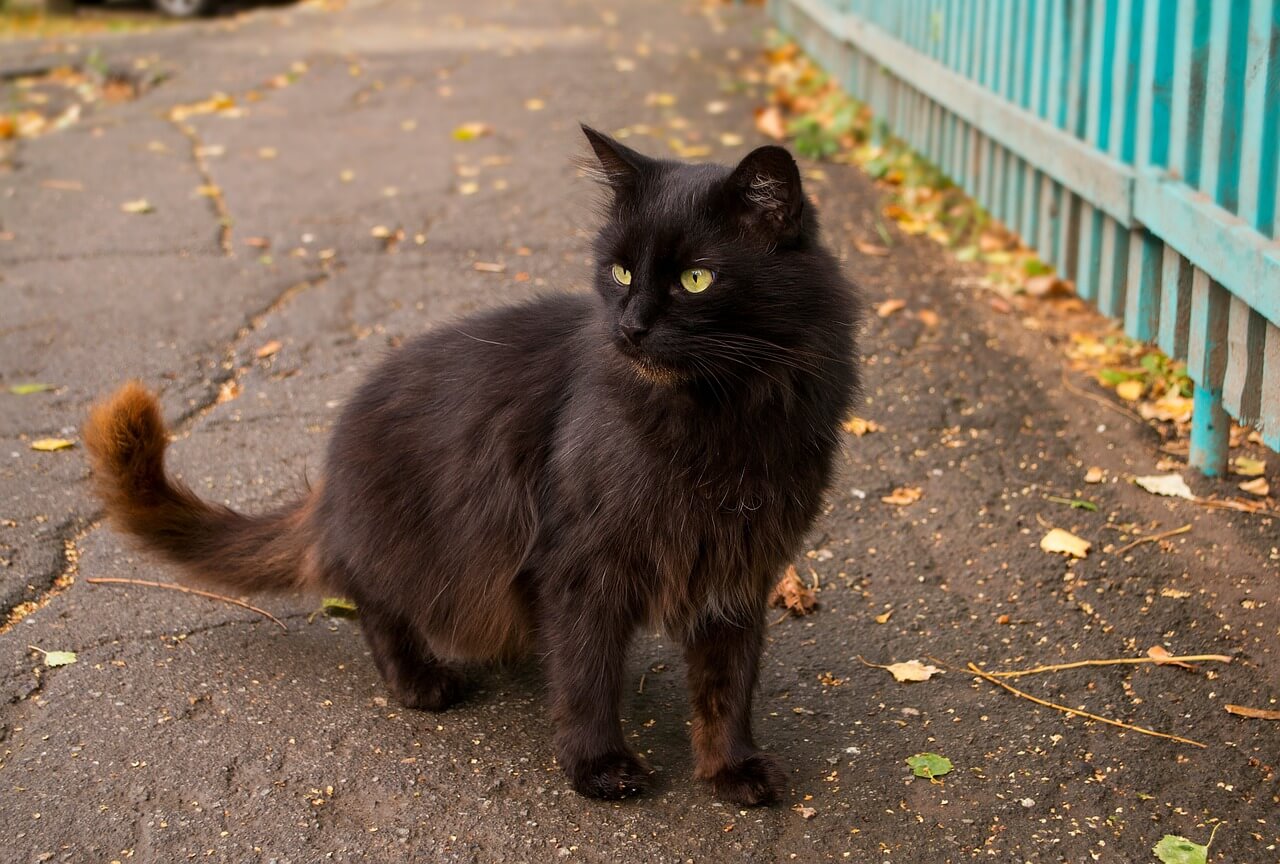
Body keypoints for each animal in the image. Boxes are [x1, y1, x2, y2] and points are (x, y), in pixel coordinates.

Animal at [82, 124, 860, 808]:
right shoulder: (580, 565)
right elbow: (587, 677)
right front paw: (597, 767)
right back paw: (420, 681)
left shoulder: (741, 565)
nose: (631, 326)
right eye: (619, 272)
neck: (719, 420)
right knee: (371, 597)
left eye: (697, 279)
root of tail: (332, 482)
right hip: (419, 548)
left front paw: (731, 771)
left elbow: (728, 685)